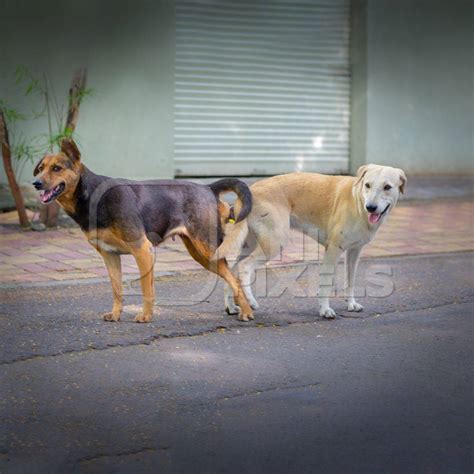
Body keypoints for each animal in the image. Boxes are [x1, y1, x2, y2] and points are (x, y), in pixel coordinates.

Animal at [218, 165, 408, 320]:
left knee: (232, 270)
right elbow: (326, 282)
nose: (371, 207)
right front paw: (325, 310)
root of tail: (250, 190)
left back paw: (232, 307)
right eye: (367, 185)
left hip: (249, 245)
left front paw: (351, 304)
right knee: (244, 267)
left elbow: (350, 280)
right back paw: (250, 301)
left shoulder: (354, 252)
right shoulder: (333, 250)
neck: (357, 201)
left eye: (387, 187)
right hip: (274, 242)